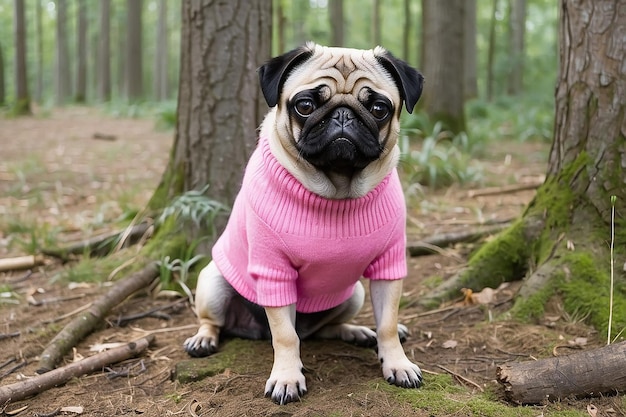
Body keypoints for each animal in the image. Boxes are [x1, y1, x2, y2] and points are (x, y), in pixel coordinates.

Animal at [183, 42, 422, 404]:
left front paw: (397, 362)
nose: (343, 115)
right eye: (305, 106)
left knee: (323, 330)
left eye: (379, 108)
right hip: (212, 283)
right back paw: (203, 339)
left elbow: (389, 324)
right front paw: (286, 377)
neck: (336, 191)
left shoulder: (389, 265)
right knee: (219, 322)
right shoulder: (274, 271)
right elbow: (285, 336)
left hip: (353, 294)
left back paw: (357, 331)